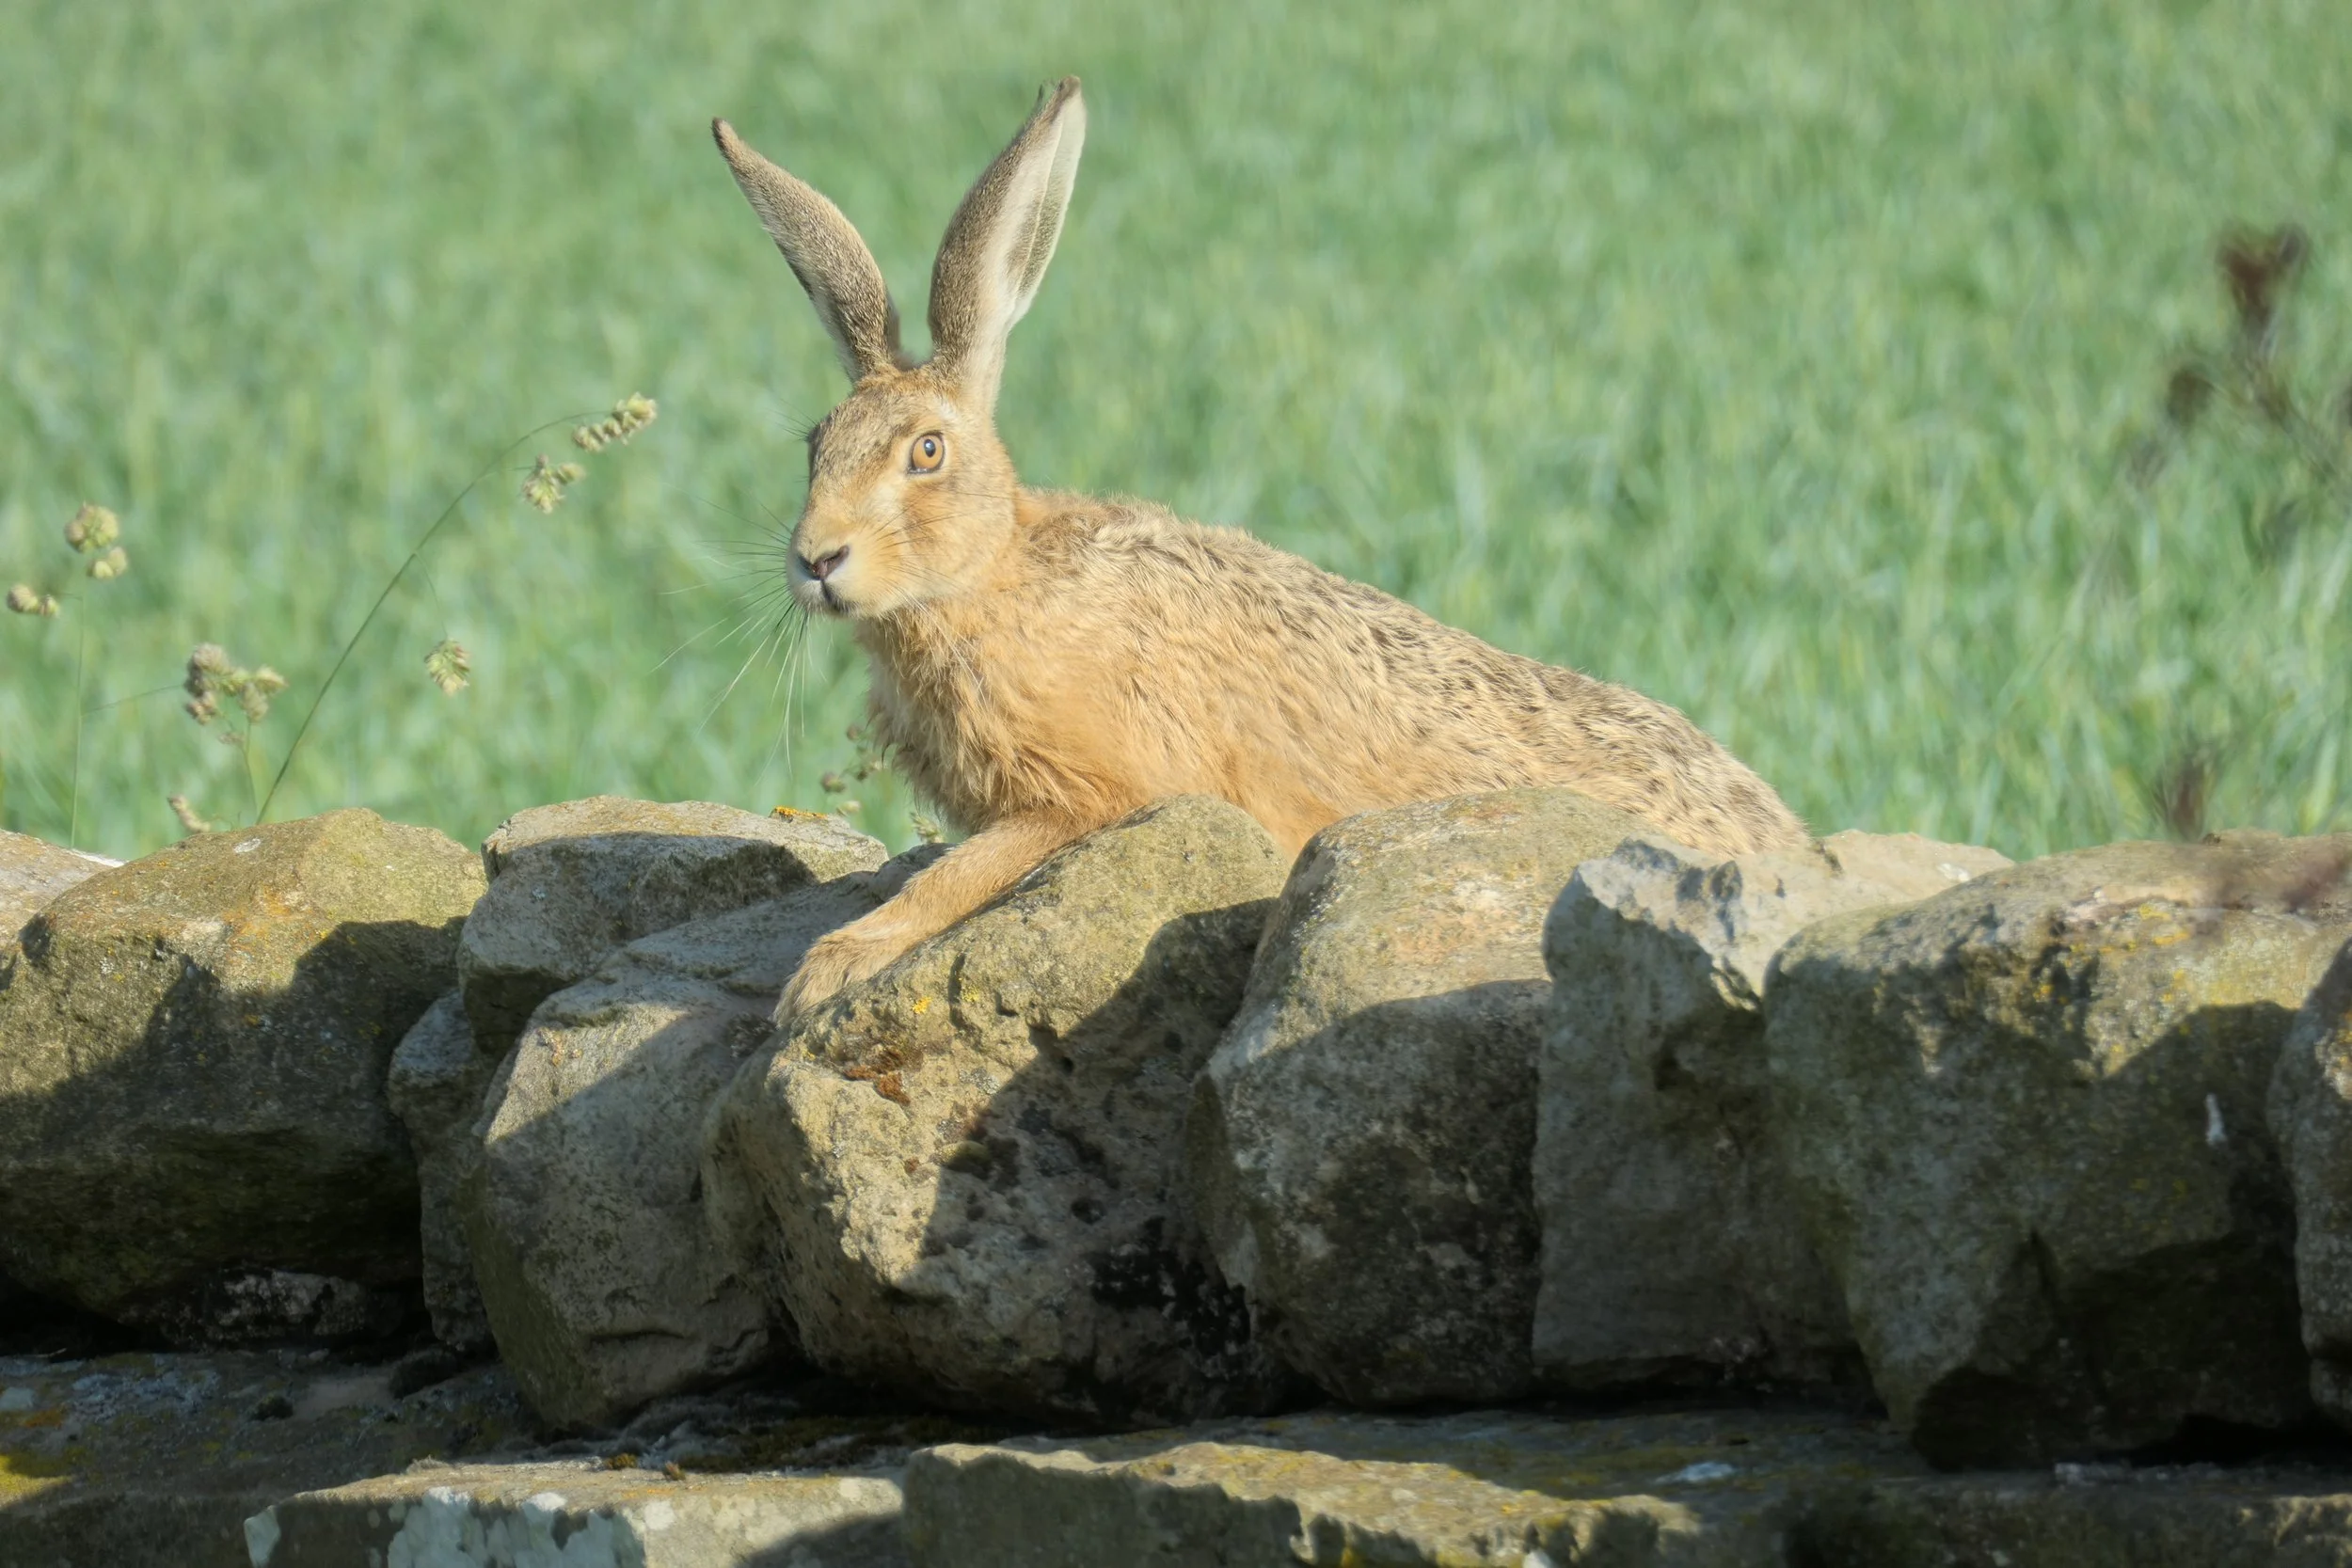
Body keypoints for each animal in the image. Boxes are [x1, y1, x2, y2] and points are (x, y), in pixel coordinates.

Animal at [713, 77, 1810, 1018]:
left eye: (926, 452)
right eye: (815, 446)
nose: (817, 559)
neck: (994, 576)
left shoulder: (1098, 794)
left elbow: (963, 872)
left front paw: (826, 970)